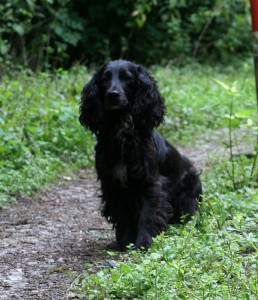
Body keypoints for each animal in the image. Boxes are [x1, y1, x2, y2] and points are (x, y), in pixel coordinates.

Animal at [78, 59, 202, 250]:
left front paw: (144, 242)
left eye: (128, 78)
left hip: (189, 189)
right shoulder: (111, 184)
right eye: (105, 79)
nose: (112, 94)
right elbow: (121, 215)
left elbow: (147, 215)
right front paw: (123, 242)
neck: (122, 134)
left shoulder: (150, 182)